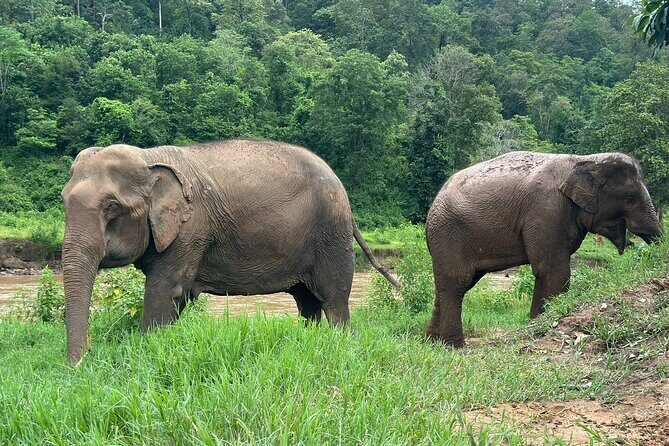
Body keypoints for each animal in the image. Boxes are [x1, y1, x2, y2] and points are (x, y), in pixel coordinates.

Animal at [61, 139, 400, 364]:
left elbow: (166, 290)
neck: (149, 157)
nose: (83, 360)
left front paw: (148, 348)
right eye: (63, 201)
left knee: (333, 298)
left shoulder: (191, 229)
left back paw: (341, 343)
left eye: (111, 207)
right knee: (307, 301)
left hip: (330, 232)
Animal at [425, 151, 663, 347]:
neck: (585, 159)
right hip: (449, 235)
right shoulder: (547, 211)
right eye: (630, 199)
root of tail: (432, 207)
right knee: (457, 283)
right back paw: (454, 346)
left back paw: (433, 342)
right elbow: (554, 271)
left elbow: (545, 272)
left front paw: (536, 323)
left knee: (451, 285)